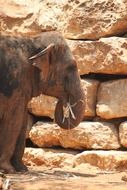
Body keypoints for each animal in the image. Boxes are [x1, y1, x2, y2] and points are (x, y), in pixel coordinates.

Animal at [0, 31, 85, 174]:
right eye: (71, 67)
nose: (64, 100)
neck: (32, 40)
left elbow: (23, 120)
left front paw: (22, 169)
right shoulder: (14, 83)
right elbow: (14, 120)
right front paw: (8, 169)